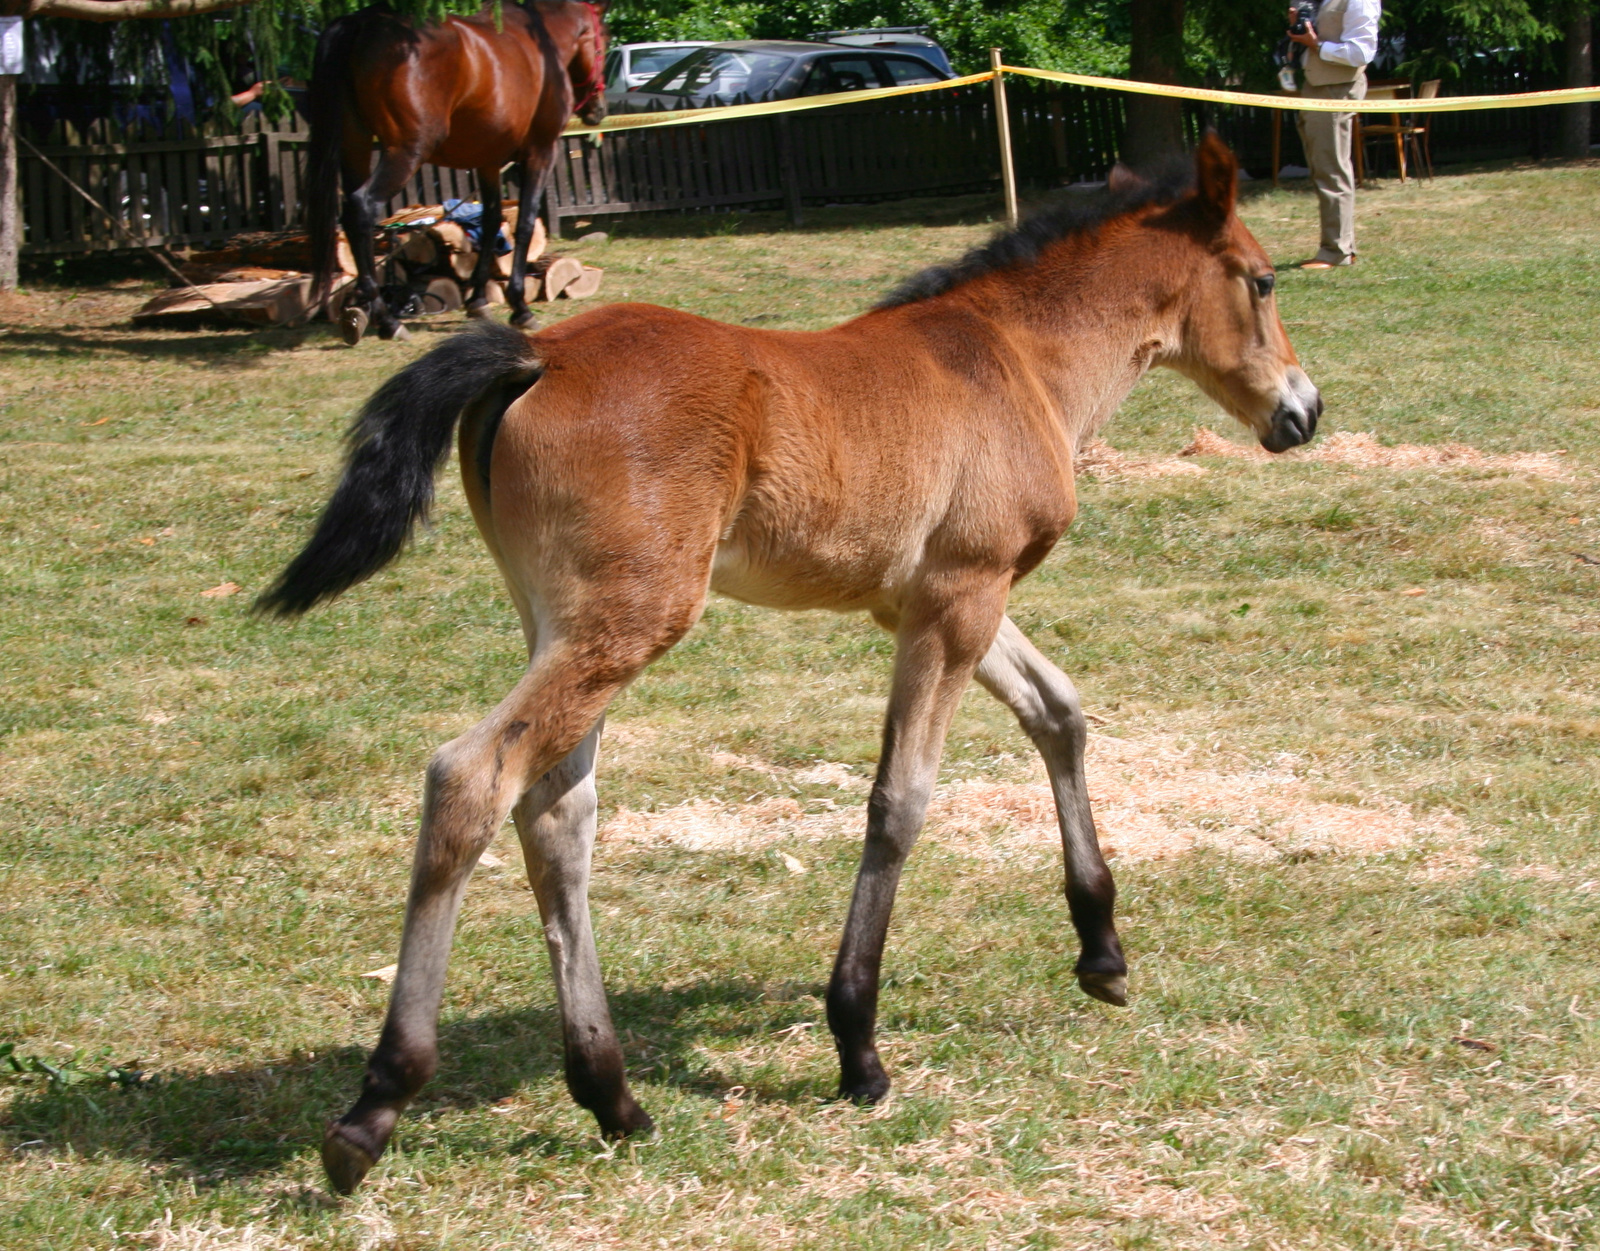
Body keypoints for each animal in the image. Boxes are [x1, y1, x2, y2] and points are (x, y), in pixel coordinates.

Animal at [259, 134, 1312, 1196]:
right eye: (1264, 280)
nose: (1303, 412)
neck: (1015, 358)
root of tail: (536, 351)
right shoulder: (960, 598)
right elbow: (901, 800)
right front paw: (858, 1045)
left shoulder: (929, 598)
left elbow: (1058, 710)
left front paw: (1101, 949)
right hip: (627, 620)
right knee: (471, 779)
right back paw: (377, 1104)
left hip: (562, 623)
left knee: (556, 814)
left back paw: (611, 1094)